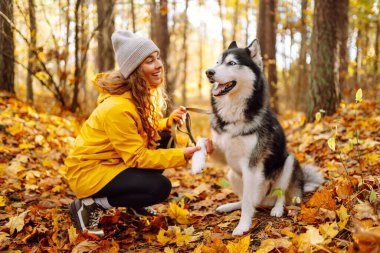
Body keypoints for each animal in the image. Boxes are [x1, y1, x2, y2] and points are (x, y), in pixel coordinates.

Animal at [205, 39, 324, 235]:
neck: (234, 114)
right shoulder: (224, 154)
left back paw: (277, 209)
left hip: (289, 162)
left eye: (231, 63)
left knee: (279, 195)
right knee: (249, 200)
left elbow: (247, 201)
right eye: (217, 62)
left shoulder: (251, 165)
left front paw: (243, 226)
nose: (208, 72)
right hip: (232, 174)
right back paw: (231, 206)